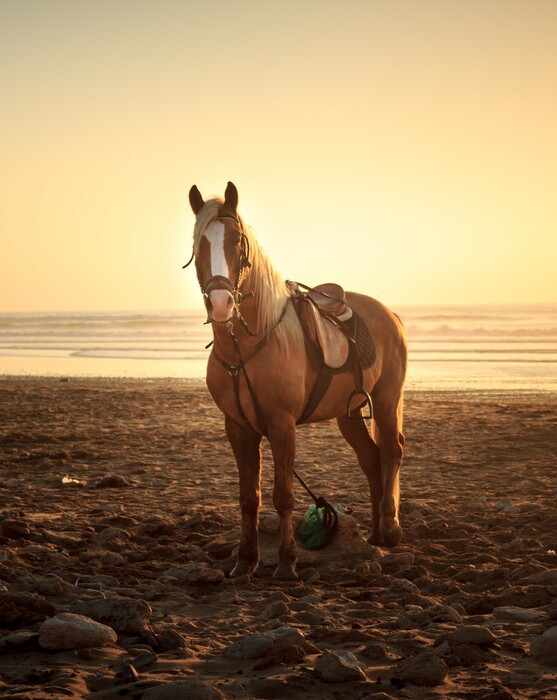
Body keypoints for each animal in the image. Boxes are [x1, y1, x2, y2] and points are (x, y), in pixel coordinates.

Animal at [185, 180, 406, 580]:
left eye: (237, 242)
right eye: (199, 245)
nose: (222, 304)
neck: (248, 347)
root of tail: (389, 314)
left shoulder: (281, 425)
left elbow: (283, 496)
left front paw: (287, 563)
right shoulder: (238, 428)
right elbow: (249, 497)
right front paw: (245, 562)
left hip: (386, 399)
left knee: (391, 452)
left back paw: (390, 528)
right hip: (349, 413)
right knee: (371, 457)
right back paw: (376, 534)